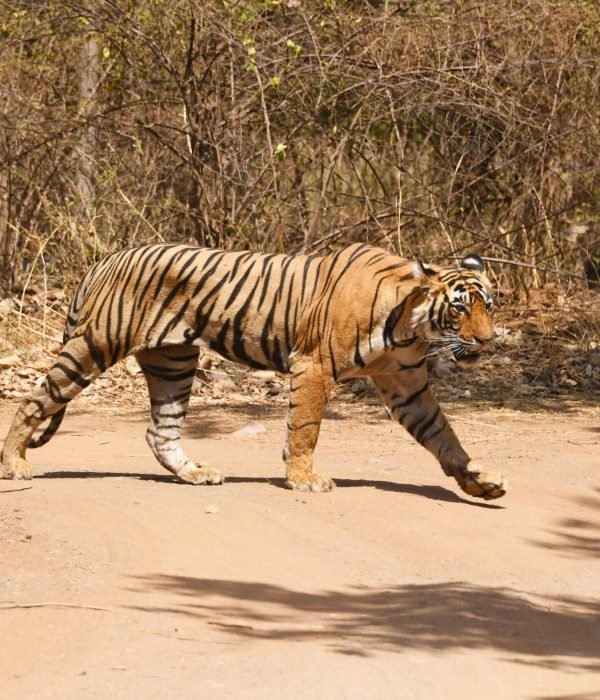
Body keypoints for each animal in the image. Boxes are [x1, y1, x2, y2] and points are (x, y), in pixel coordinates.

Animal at [1, 242, 507, 500]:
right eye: (460, 309)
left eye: (489, 305)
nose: (487, 341)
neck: (410, 326)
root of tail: (108, 258)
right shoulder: (313, 366)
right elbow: (305, 428)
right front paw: (304, 478)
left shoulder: (406, 385)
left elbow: (443, 435)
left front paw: (478, 481)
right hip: (94, 346)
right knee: (33, 400)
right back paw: (15, 463)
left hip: (173, 364)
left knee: (159, 431)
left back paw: (196, 474)